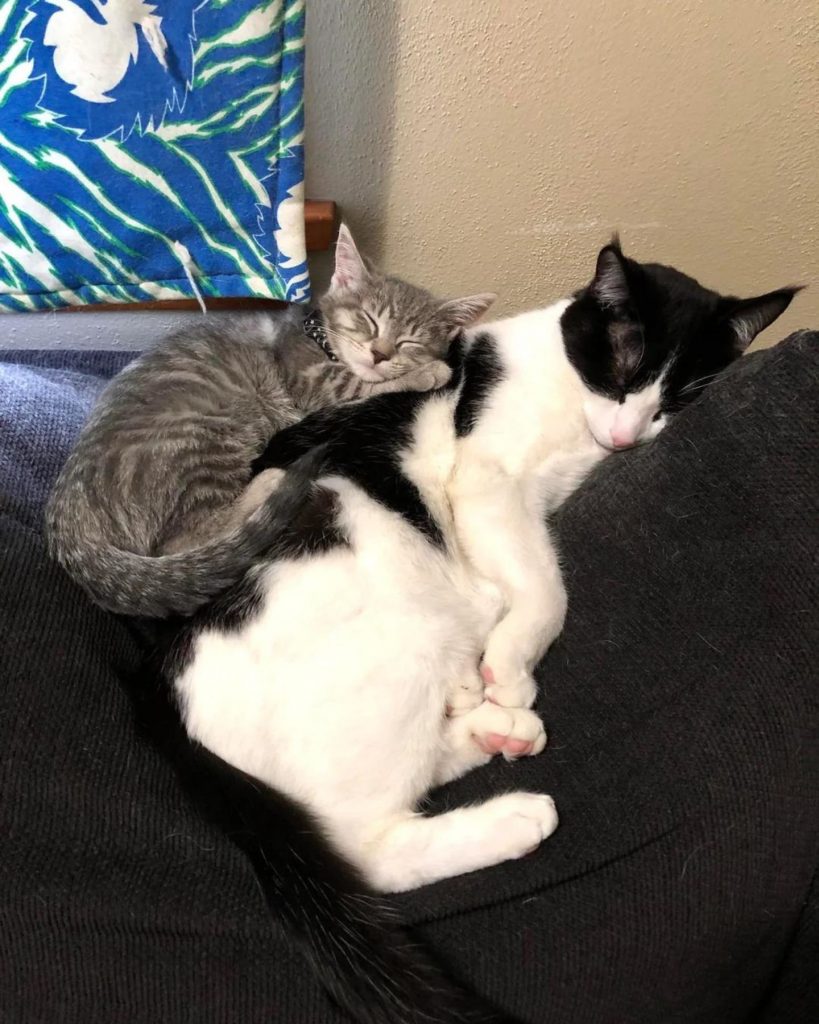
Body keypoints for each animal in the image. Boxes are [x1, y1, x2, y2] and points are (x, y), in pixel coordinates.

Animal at [46, 225, 493, 618]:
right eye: (369, 320)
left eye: (410, 340)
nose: (380, 353)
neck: (318, 337)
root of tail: (70, 521)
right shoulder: (312, 384)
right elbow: (361, 383)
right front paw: (430, 372)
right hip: (218, 426)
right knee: (180, 540)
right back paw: (269, 482)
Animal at [156, 241, 798, 1024]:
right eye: (622, 367)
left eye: (680, 397)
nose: (626, 436)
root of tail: (172, 704)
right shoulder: (486, 481)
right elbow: (545, 587)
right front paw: (512, 658)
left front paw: (498, 666)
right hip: (389, 651)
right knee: (369, 846)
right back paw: (510, 807)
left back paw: (495, 729)